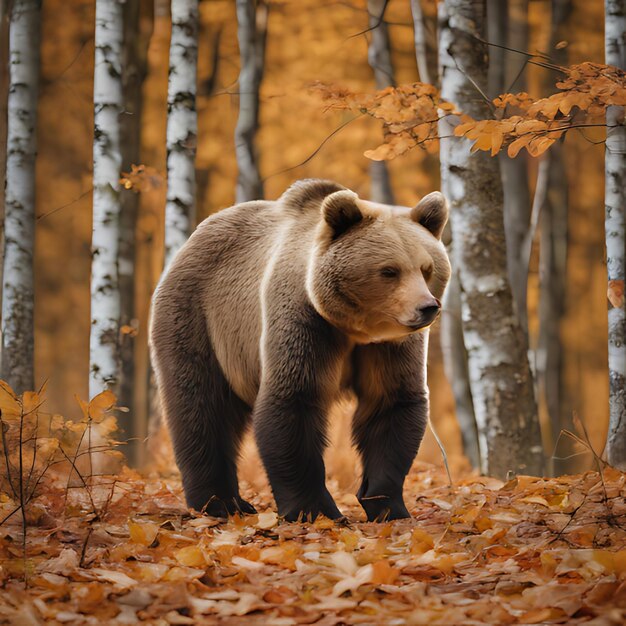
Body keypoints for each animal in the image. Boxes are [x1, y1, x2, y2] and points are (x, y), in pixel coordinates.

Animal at [151, 178, 448, 520]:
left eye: (427, 268)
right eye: (389, 270)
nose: (427, 307)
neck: (354, 329)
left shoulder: (389, 346)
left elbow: (391, 403)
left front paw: (387, 504)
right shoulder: (304, 319)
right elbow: (295, 400)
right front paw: (315, 510)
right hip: (201, 317)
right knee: (202, 402)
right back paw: (219, 503)